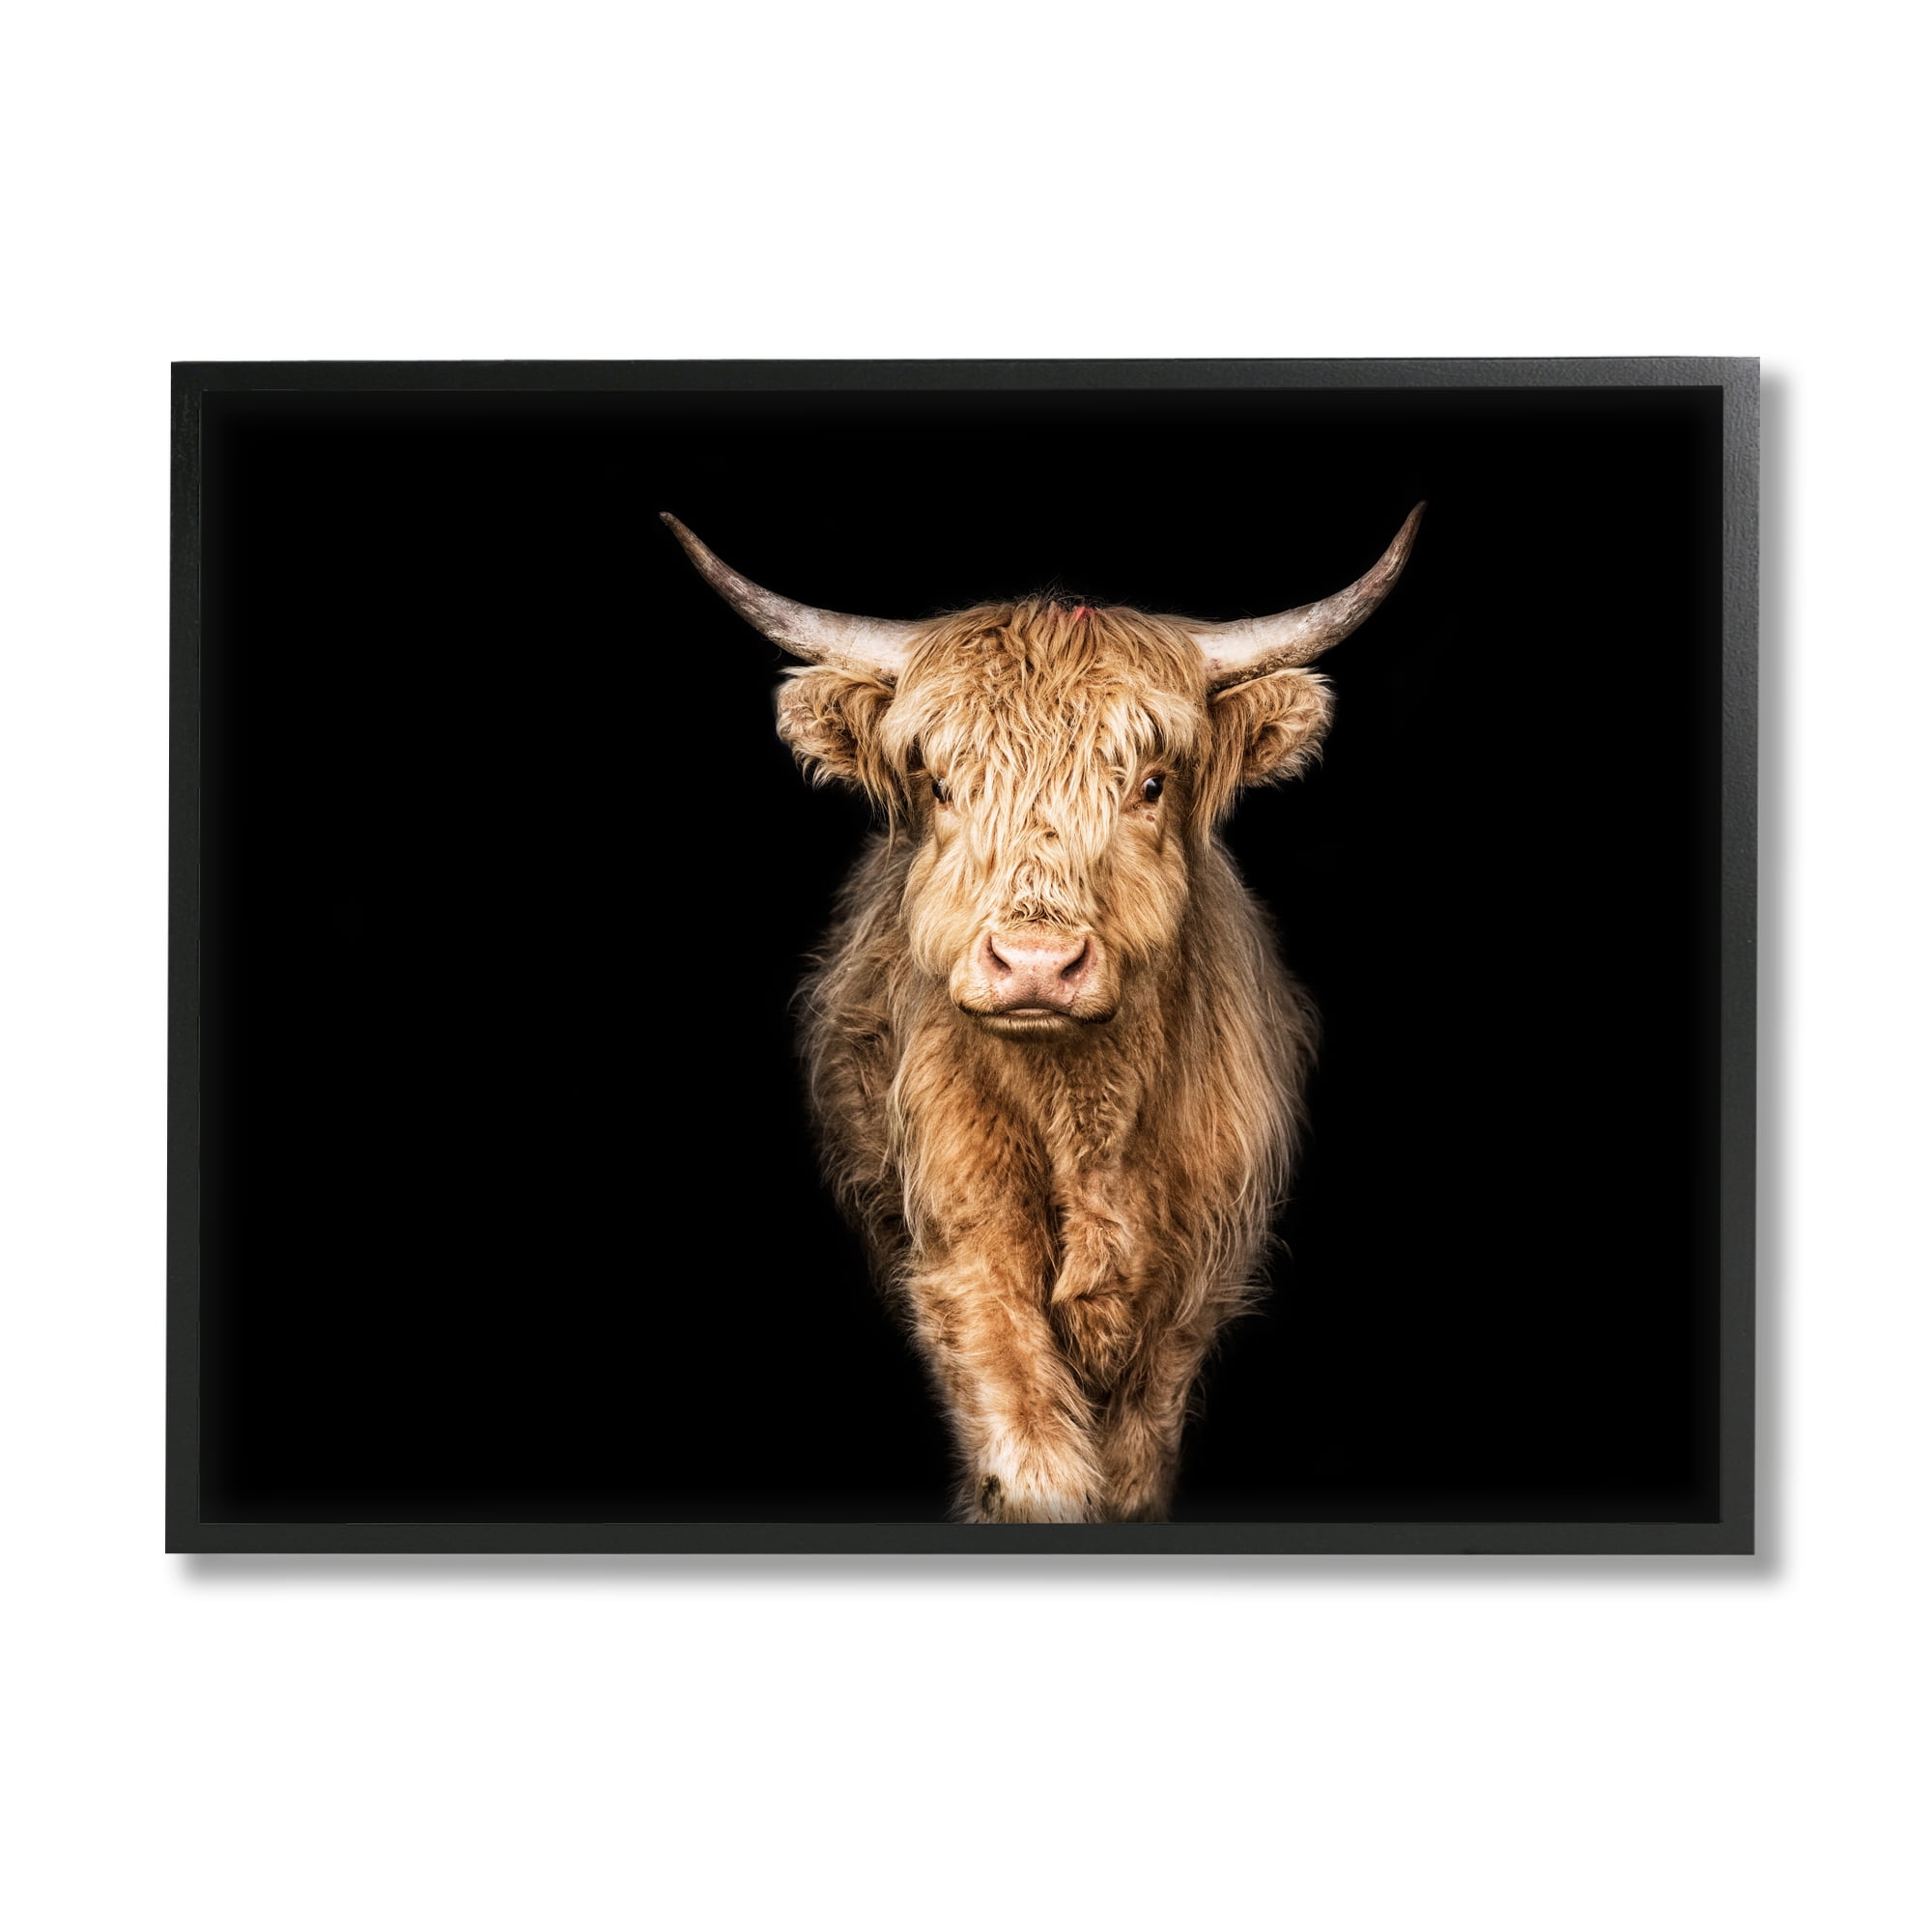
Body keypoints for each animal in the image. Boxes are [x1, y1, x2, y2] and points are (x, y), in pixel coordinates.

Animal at [664, 507, 1424, 1522]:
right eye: (942, 784)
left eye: (1150, 783)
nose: (1034, 965)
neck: (1087, 1120)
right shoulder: (963, 1257)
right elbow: (1029, 1462)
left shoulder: (1192, 1295)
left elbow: (1133, 1467)